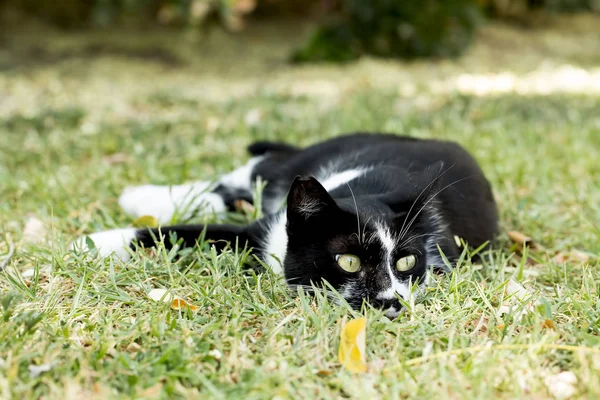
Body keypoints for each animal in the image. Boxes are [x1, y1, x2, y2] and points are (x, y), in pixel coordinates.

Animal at [72, 133, 500, 318]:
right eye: (348, 262)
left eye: (407, 264)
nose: (389, 302)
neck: (363, 189)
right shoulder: (263, 230)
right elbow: (186, 232)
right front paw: (91, 243)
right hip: (300, 161)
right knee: (257, 170)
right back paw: (143, 197)